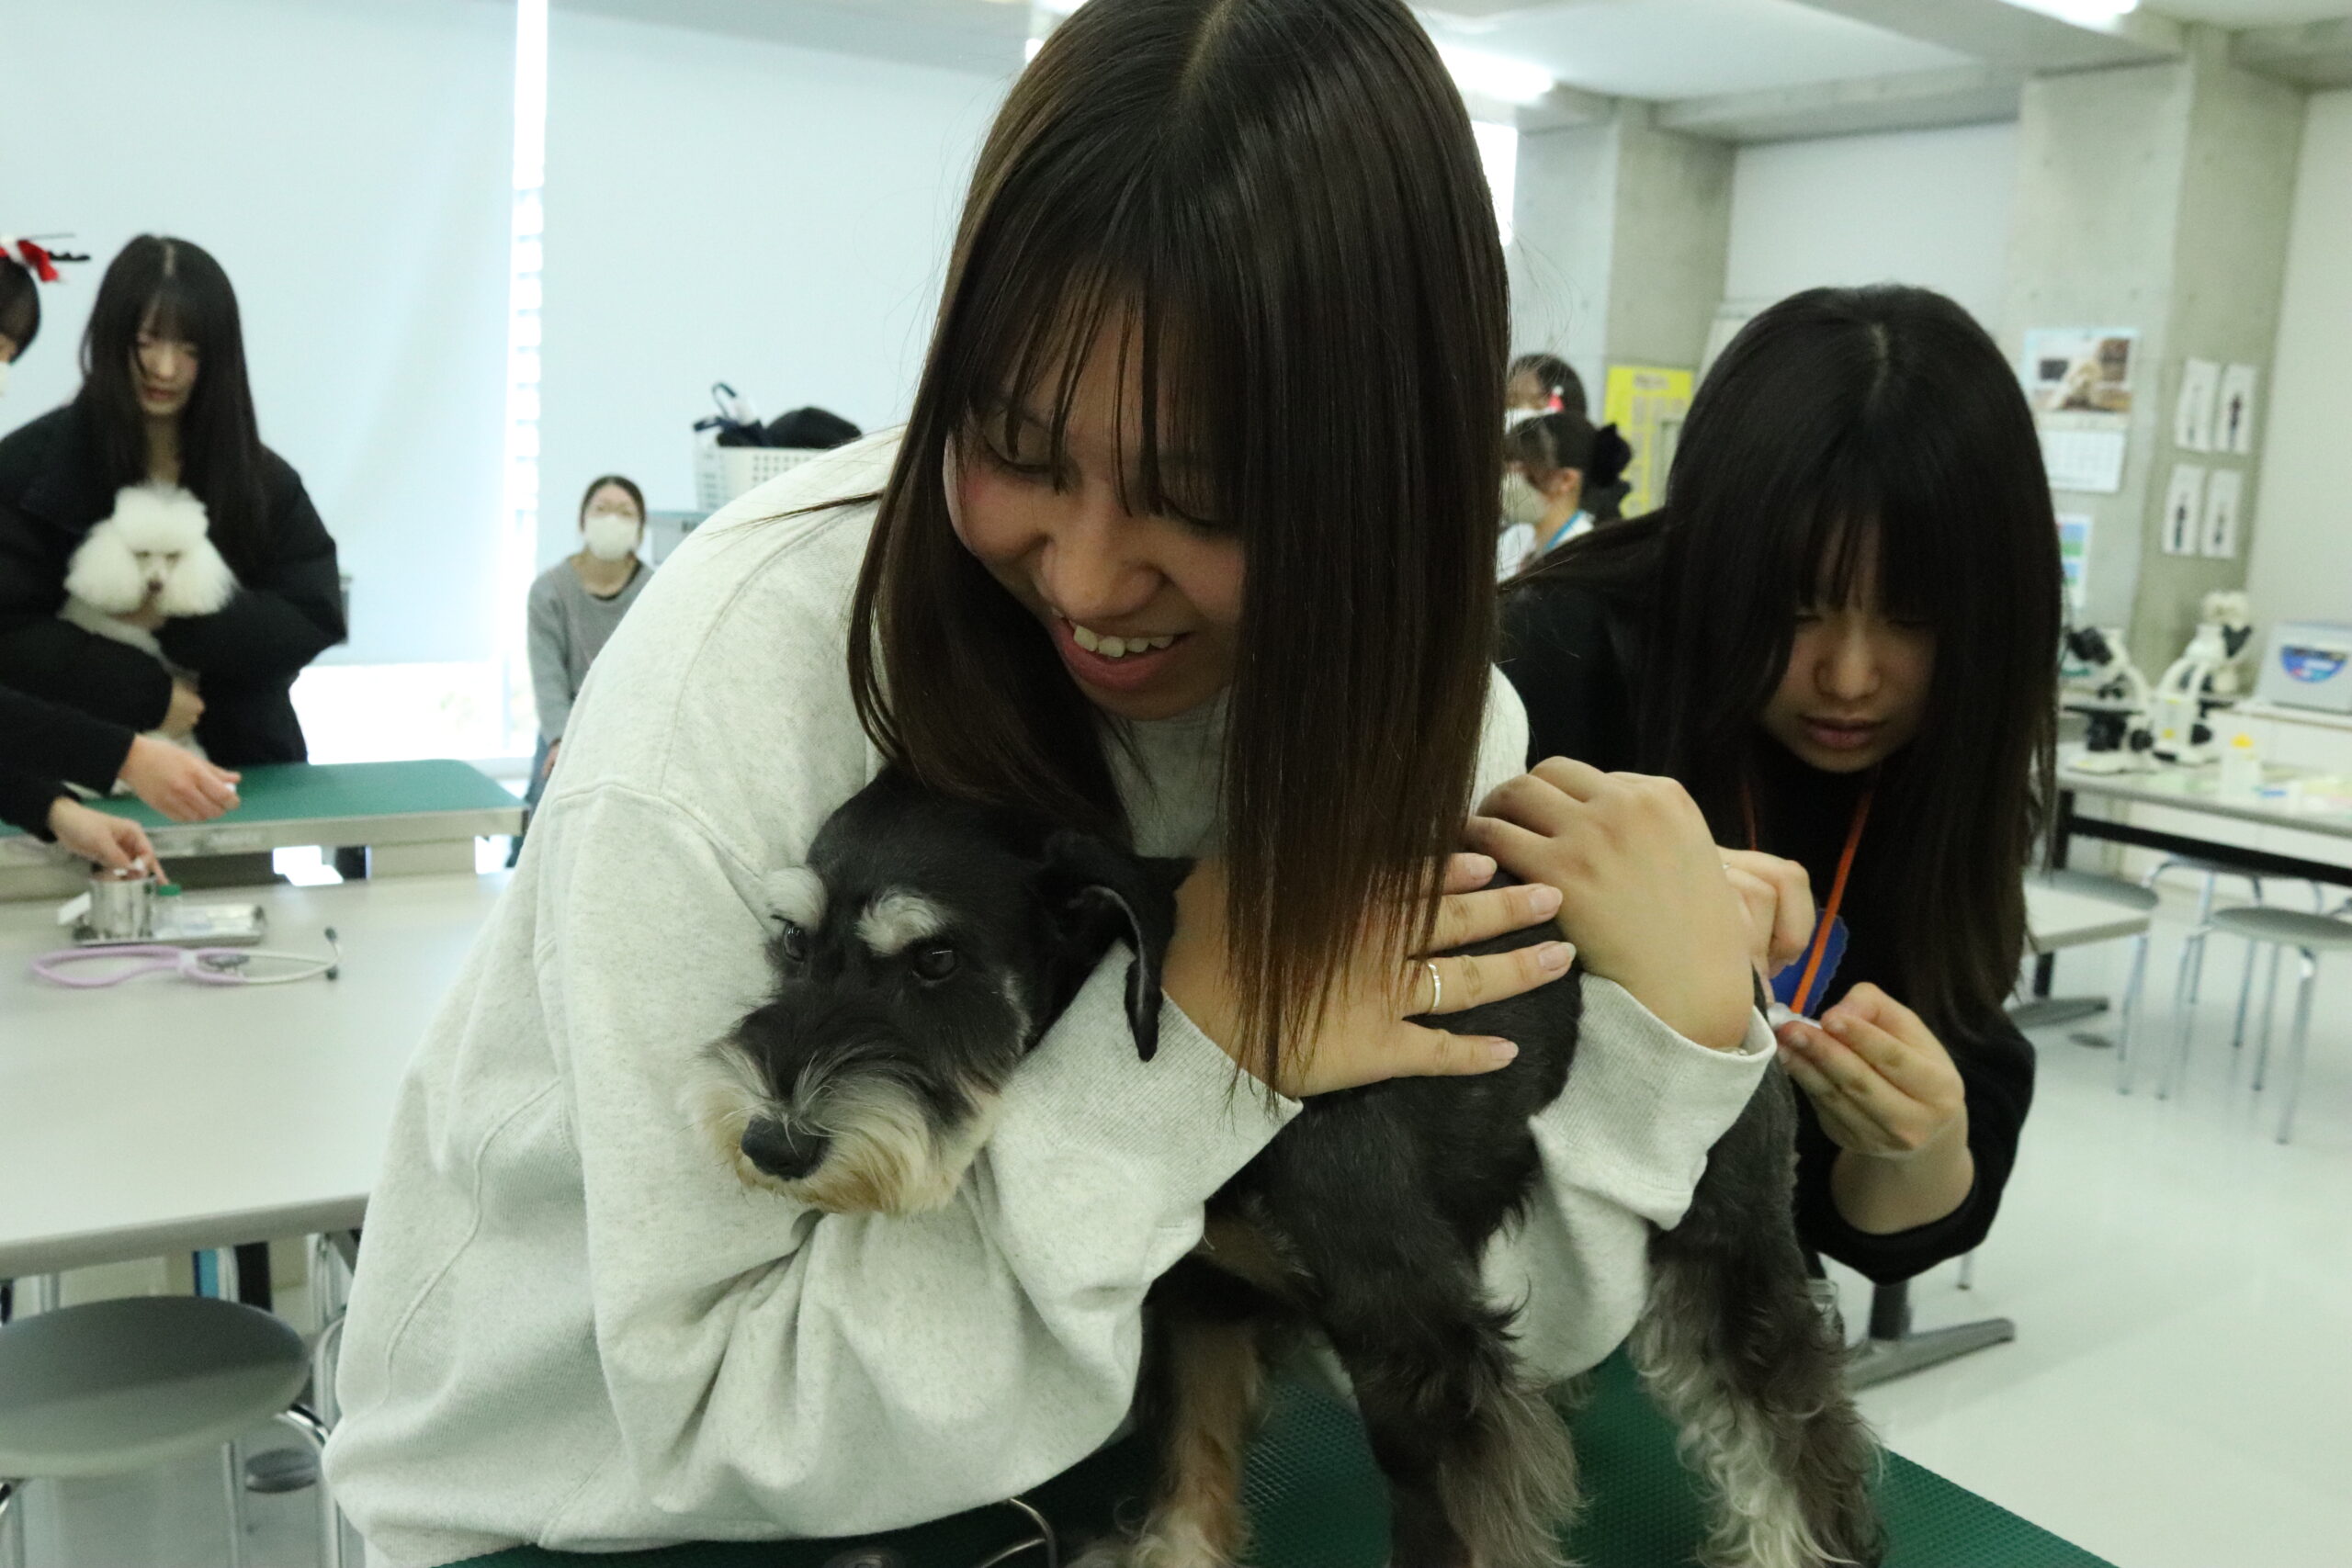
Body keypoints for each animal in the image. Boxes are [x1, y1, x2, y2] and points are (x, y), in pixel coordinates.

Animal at [690, 771, 1882, 1568]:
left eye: (936, 959)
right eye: (790, 944)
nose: (775, 1143)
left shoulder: (1417, 1354)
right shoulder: (1200, 1306)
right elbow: (1191, 1470)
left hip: (1728, 1240)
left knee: (1787, 1423)